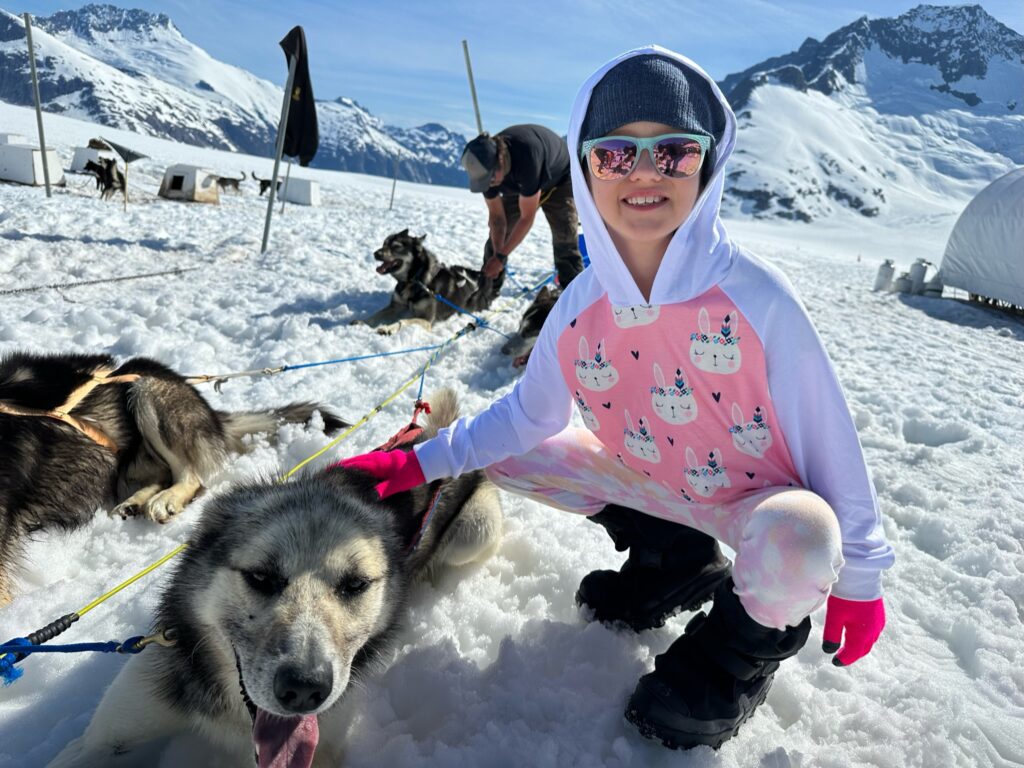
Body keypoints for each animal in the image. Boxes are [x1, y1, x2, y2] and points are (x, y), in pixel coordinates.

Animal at [48, 391, 503, 768]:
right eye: (261, 576)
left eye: (355, 585)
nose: (304, 689)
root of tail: (433, 434)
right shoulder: (108, 734)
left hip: (475, 531)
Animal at [354, 230, 501, 335]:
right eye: (384, 244)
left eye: (396, 247)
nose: (375, 253)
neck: (415, 280)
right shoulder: (395, 306)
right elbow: (376, 315)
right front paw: (362, 322)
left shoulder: (426, 320)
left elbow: (404, 320)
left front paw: (388, 328)